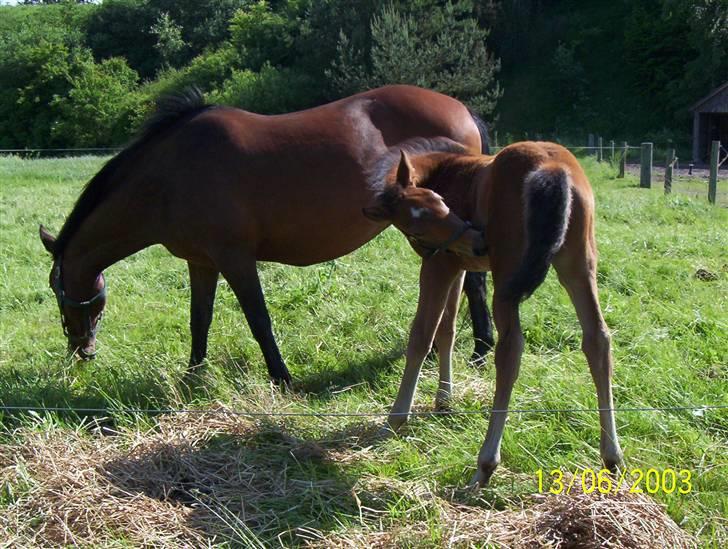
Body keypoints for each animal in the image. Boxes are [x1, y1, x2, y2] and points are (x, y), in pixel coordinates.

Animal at [41, 85, 494, 386]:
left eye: (57, 292)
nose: (81, 351)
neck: (173, 172)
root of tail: (462, 109)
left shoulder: (236, 259)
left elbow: (259, 320)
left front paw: (282, 379)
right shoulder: (201, 262)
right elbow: (199, 319)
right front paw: (193, 375)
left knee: (472, 281)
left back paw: (480, 349)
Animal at [364, 141, 624, 484]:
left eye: (442, 202)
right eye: (416, 224)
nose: (478, 241)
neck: (447, 171)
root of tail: (553, 168)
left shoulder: (438, 264)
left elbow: (423, 334)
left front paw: (395, 419)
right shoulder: (459, 264)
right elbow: (447, 330)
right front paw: (443, 401)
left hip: (507, 279)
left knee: (510, 350)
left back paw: (485, 463)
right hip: (579, 266)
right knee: (597, 339)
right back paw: (612, 457)